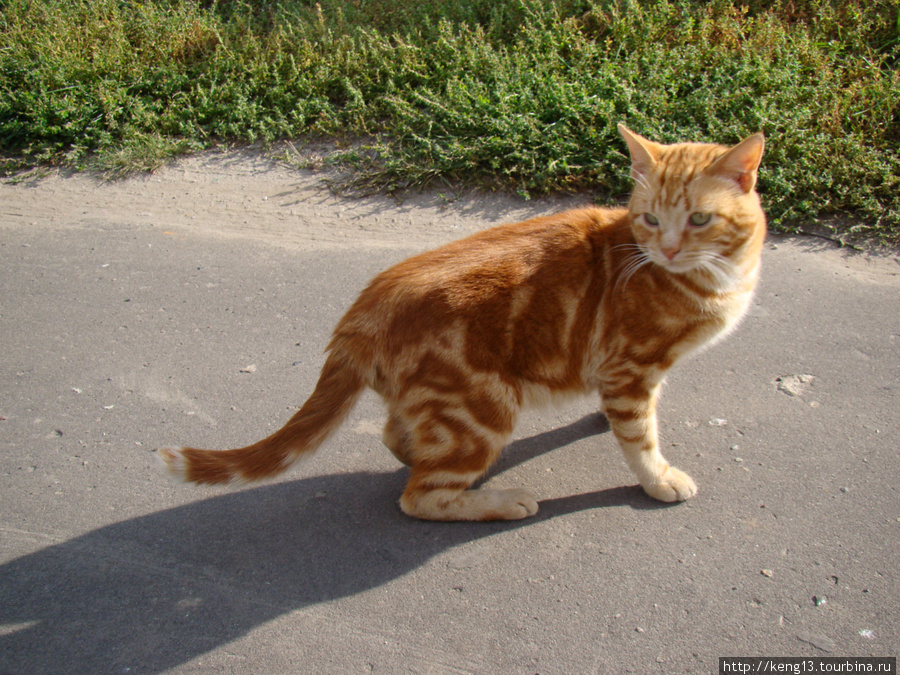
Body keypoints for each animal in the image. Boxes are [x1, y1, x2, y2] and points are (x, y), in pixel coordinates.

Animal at [156, 127, 768, 524]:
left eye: (699, 219)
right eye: (650, 219)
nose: (667, 249)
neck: (719, 277)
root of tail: (363, 308)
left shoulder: (628, 374)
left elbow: (630, 413)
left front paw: (605, 420)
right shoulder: (632, 366)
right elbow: (640, 437)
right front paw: (658, 478)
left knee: (398, 439)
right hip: (484, 407)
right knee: (420, 496)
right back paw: (500, 500)